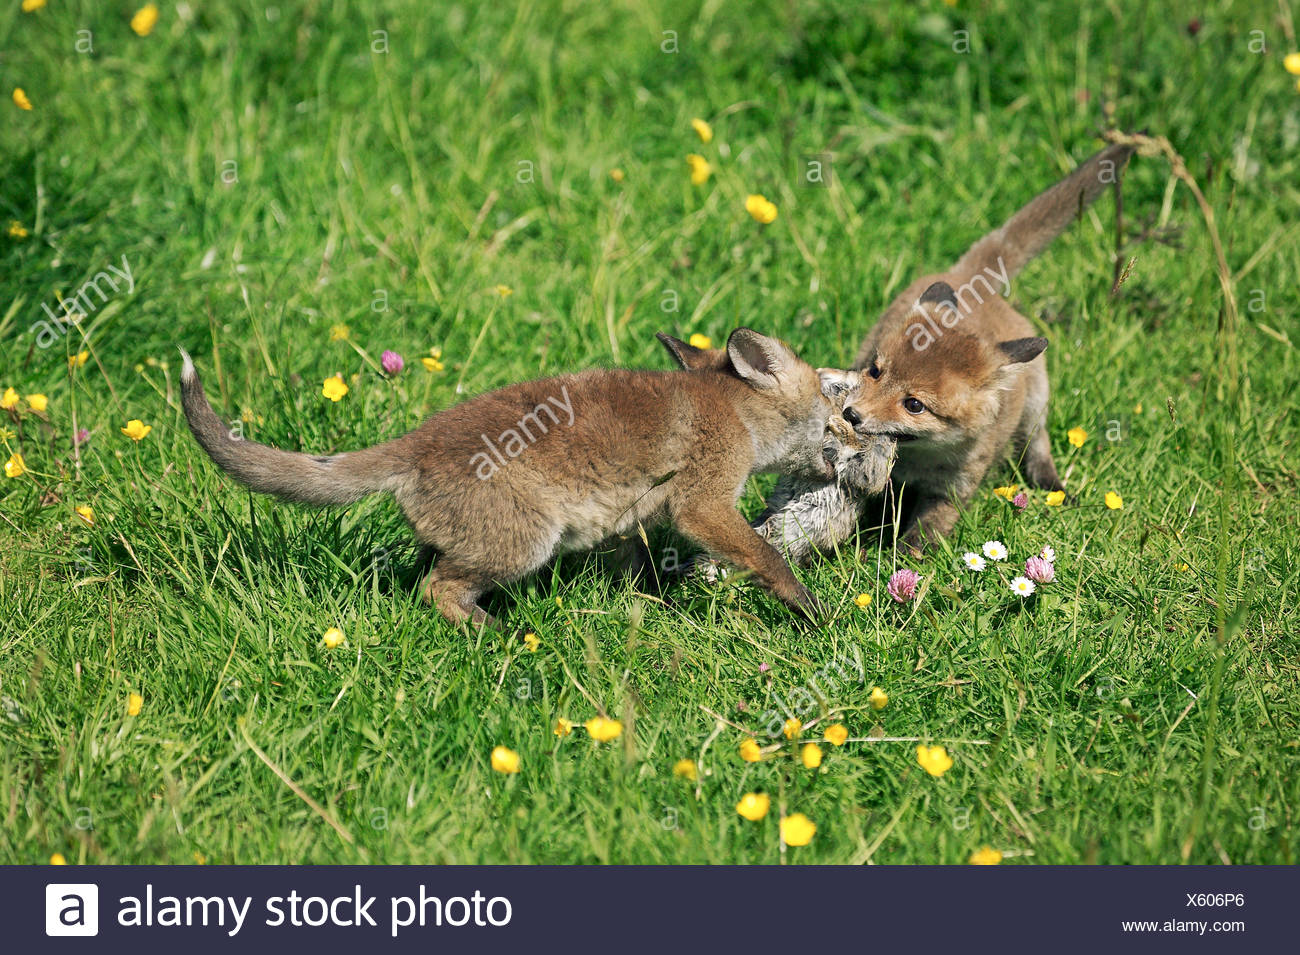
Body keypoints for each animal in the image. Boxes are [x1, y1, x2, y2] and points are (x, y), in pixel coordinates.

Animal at [179, 328, 843, 627]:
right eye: (834, 408)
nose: (854, 436)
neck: (735, 412)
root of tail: (413, 443)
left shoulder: (629, 521)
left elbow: (635, 574)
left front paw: (642, 609)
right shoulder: (702, 502)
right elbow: (768, 559)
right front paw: (812, 611)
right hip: (523, 544)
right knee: (438, 590)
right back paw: (496, 633)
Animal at [758, 142, 1135, 556]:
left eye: (914, 405)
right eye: (876, 371)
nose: (850, 414)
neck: (918, 465)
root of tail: (968, 279)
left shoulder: (953, 490)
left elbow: (924, 535)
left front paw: (898, 562)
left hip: (1037, 402)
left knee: (1038, 447)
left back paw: (1054, 487)